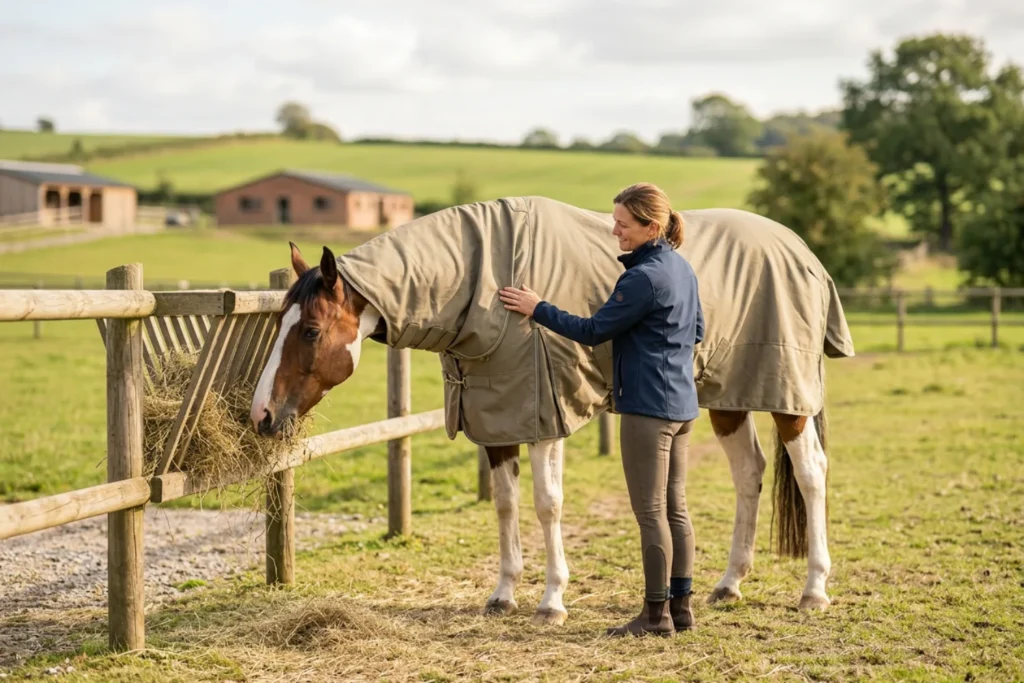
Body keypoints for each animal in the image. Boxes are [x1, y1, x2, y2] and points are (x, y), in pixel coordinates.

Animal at [249, 197, 853, 625]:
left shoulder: (544, 414)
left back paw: (814, 589)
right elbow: (506, 506)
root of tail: (804, 254)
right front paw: (503, 594)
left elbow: (547, 504)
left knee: (812, 474)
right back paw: (729, 584)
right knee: (750, 473)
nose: (261, 415)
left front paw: (552, 600)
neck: (484, 280)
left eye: (310, 330)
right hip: (728, 398)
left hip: (788, 398)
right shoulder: (499, 418)